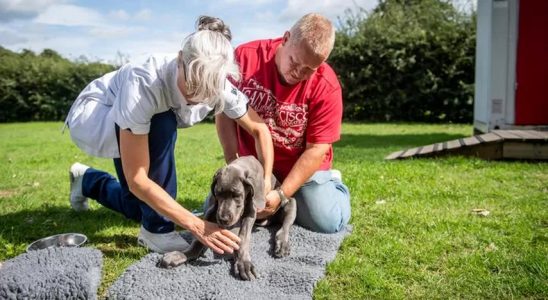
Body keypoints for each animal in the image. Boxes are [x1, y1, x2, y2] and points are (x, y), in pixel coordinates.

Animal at [158, 156, 296, 280]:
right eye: (218, 193)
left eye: (237, 195)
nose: (223, 219)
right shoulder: (213, 210)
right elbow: (199, 238)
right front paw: (182, 254)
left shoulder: (251, 211)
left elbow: (243, 237)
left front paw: (243, 263)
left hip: (290, 203)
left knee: (285, 225)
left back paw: (282, 243)